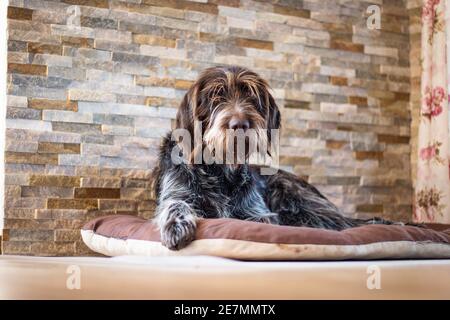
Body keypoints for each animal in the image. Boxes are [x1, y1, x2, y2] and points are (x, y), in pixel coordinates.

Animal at [152, 65, 398, 250]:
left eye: (251, 97)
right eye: (215, 96)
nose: (240, 124)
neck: (221, 171)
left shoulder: (258, 212)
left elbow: (260, 220)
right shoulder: (177, 193)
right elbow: (175, 204)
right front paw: (176, 224)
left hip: (294, 196)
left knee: (344, 223)